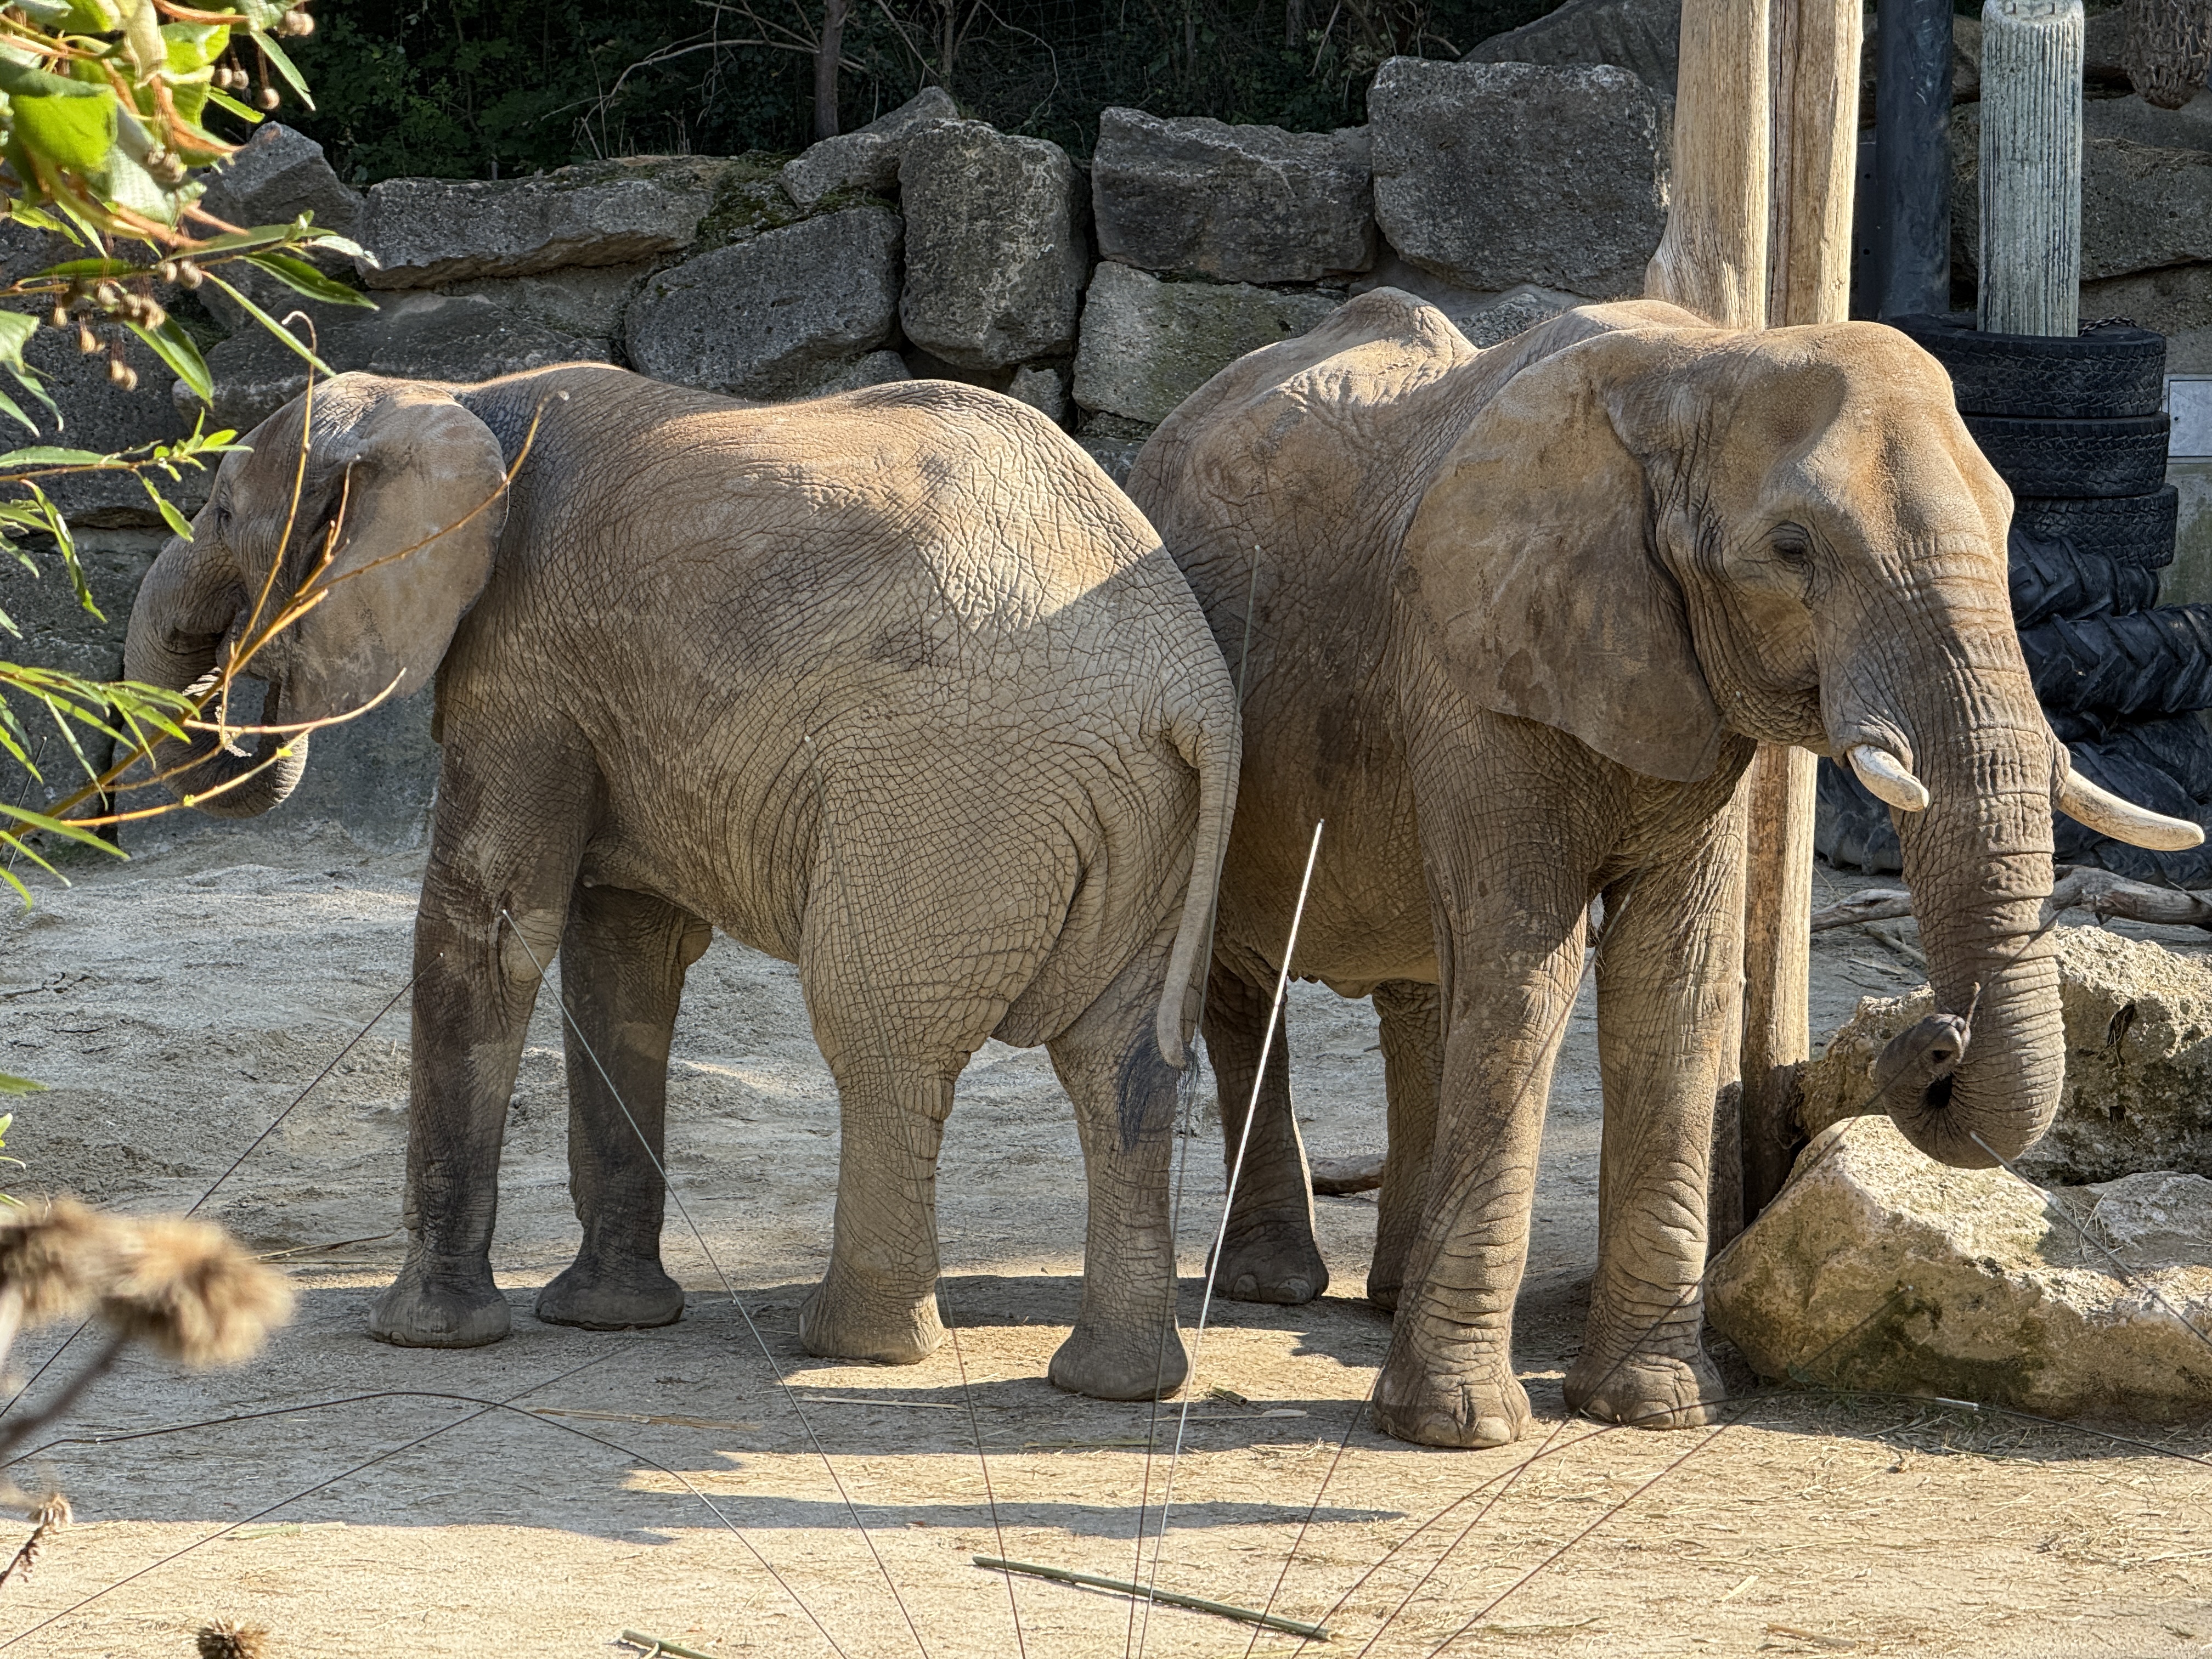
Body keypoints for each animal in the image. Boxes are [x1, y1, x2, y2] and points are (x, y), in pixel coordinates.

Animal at [122, 365, 1240, 1401]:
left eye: (221, 510)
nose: (244, 681)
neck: (455, 396)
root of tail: (1193, 687)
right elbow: (622, 948)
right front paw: (608, 1317)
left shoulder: (525, 664)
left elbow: (490, 926)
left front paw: (424, 1334)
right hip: (1146, 818)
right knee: (1122, 1063)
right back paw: (1115, 1381)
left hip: (949, 788)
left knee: (878, 1033)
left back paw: (848, 1344)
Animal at [1126, 290, 2200, 1447]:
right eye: (1792, 547)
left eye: (2006, 523)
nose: (1933, 1035)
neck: (1700, 363)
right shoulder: (1475, 662)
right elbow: (1527, 970)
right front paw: (1458, 1428)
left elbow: (1670, 977)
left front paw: (1655, 1407)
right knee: (1244, 977)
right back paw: (1273, 1285)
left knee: (1420, 980)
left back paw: (1388, 1289)